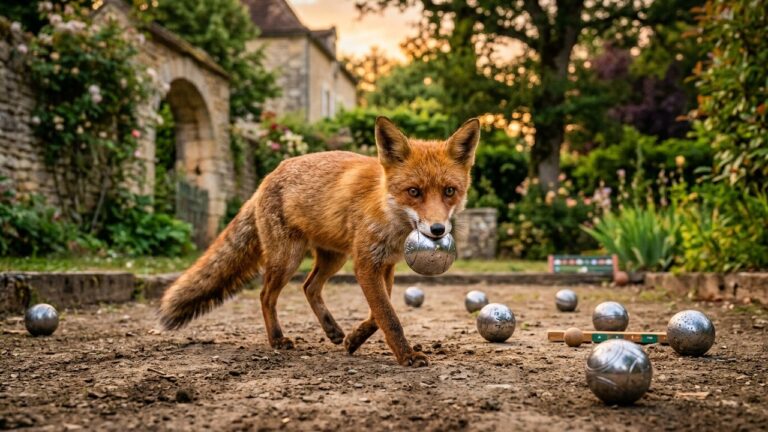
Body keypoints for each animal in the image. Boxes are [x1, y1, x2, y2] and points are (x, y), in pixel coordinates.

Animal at [158, 116, 480, 367]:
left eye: (449, 191)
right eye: (414, 192)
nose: (437, 229)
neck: (388, 212)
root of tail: (267, 178)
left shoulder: (384, 265)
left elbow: (378, 312)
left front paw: (353, 339)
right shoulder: (366, 264)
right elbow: (389, 316)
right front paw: (407, 356)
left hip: (333, 258)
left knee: (309, 286)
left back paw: (333, 330)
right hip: (287, 259)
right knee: (266, 295)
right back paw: (277, 339)